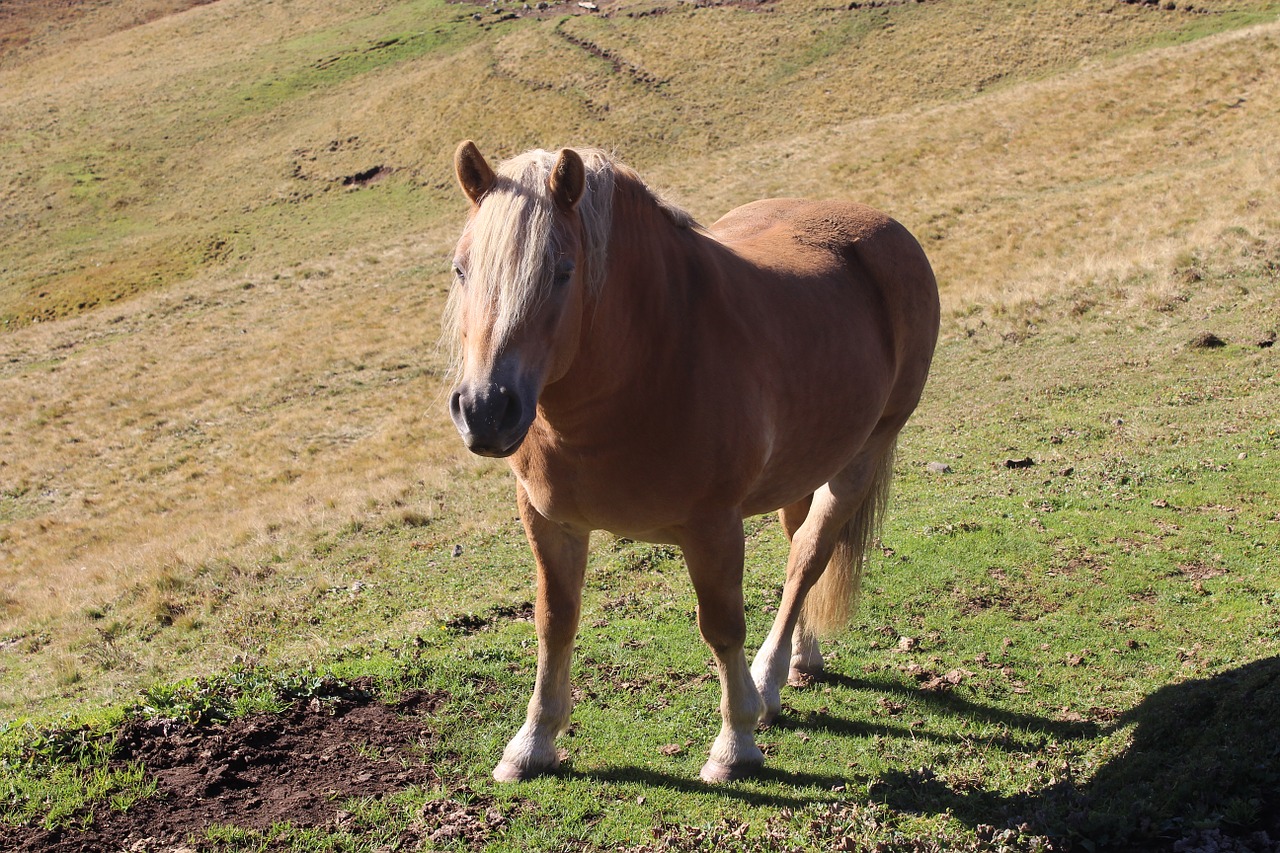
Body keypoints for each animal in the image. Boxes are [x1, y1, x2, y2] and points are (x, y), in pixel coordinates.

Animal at [448, 140, 942, 783]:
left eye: (562, 271)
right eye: (461, 268)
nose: (485, 409)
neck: (653, 355)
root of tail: (885, 229)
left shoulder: (712, 527)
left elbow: (722, 628)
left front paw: (735, 745)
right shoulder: (549, 520)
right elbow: (554, 623)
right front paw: (532, 743)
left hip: (862, 455)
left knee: (808, 557)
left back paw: (767, 680)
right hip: (803, 466)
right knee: (800, 545)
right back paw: (799, 662)